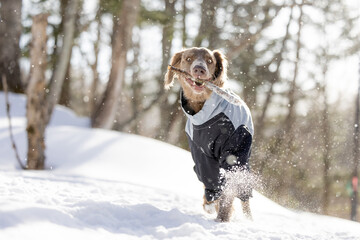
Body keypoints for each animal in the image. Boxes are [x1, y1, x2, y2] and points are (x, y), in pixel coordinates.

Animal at [165, 47, 255, 221]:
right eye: (188, 58)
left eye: (209, 61)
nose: (199, 69)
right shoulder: (201, 154)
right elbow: (209, 179)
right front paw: (211, 204)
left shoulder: (234, 149)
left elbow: (229, 190)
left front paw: (222, 219)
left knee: (244, 196)